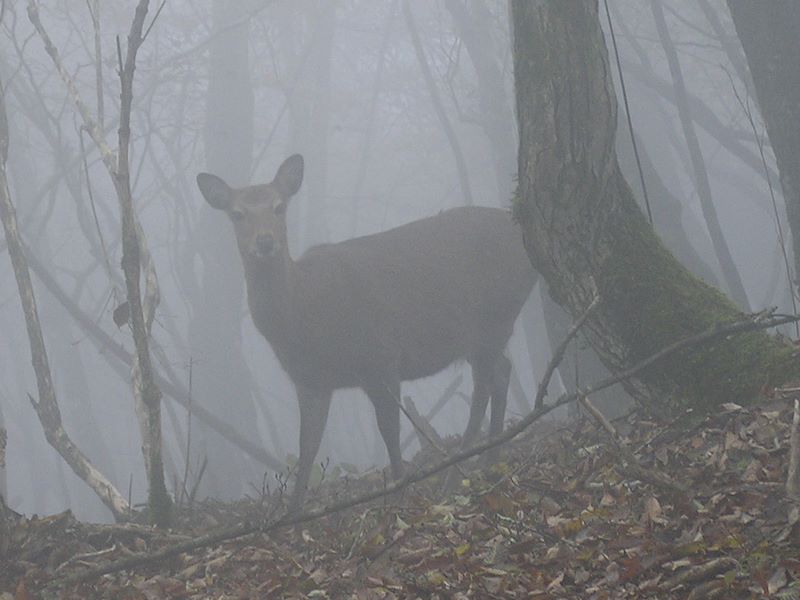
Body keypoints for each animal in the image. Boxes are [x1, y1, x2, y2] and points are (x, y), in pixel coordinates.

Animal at [196, 154, 536, 511]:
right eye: (237, 213)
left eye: (279, 207)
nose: (265, 241)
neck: (302, 314)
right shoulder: (310, 381)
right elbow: (307, 448)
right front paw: (291, 514)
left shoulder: (380, 356)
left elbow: (389, 430)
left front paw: (399, 492)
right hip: (484, 332)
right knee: (502, 371)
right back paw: (489, 459)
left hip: (491, 319)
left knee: (483, 387)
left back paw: (456, 475)